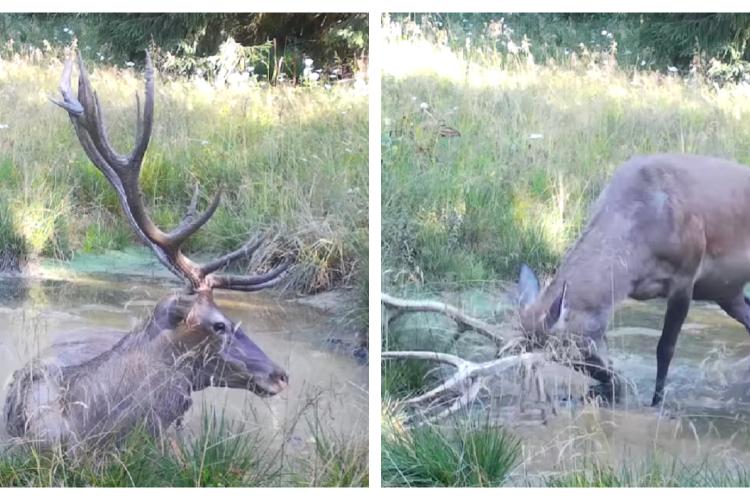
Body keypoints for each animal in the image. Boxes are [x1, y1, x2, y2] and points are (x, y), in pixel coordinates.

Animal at [520, 154, 750, 408]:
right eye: (558, 360)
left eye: (577, 348)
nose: (615, 386)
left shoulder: (687, 274)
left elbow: (665, 349)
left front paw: (656, 403)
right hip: (724, 290)